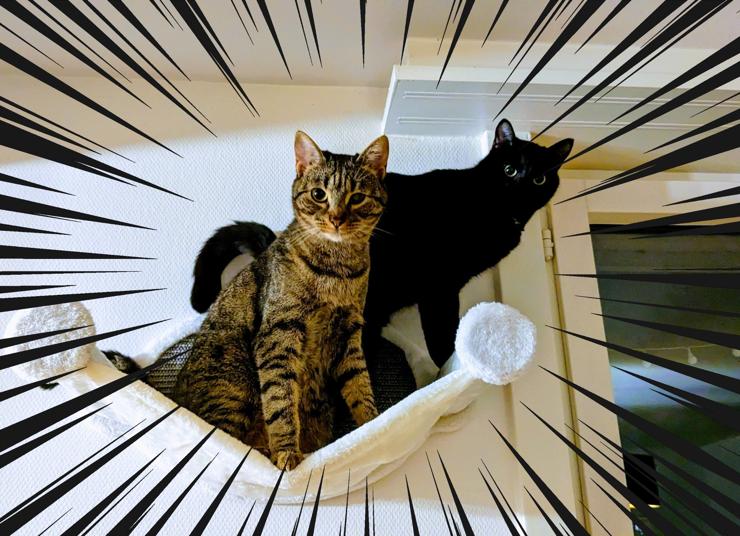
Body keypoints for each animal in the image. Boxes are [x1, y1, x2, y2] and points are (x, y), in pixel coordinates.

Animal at [174, 131, 390, 468]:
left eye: (357, 197)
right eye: (318, 194)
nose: (336, 218)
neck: (336, 269)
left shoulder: (350, 332)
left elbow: (360, 385)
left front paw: (373, 428)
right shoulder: (279, 333)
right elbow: (280, 398)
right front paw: (286, 450)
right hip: (234, 381)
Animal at [191, 120, 572, 368]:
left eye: (539, 178)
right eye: (509, 169)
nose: (522, 184)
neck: (496, 210)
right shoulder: (440, 286)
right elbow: (441, 333)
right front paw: (449, 367)